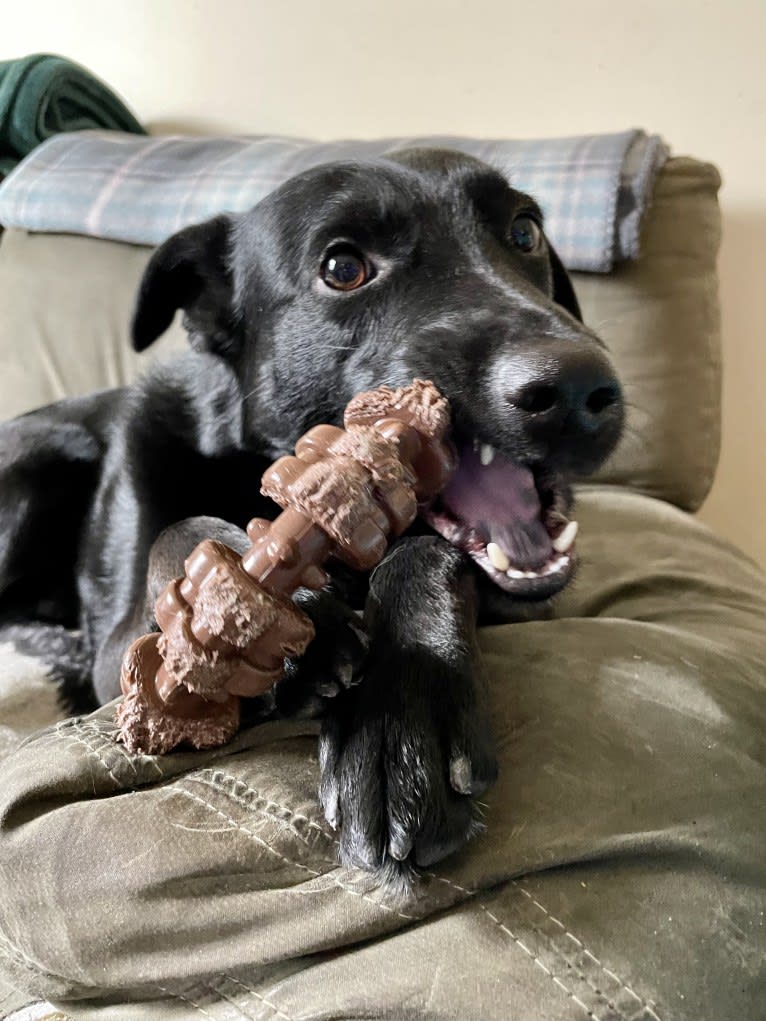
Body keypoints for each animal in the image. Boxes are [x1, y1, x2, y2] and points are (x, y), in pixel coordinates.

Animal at [0, 149, 625, 878]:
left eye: (525, 232)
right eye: (343, 268)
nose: (578, 389)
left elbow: (426, 553)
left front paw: (401, 715)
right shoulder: (119, 651)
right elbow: (179, 535)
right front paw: (272, 602)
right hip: (46, 459)